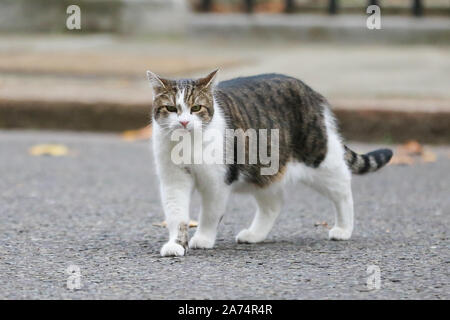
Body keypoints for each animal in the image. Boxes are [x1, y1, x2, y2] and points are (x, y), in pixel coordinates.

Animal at [146, 70, 392, 258]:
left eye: (196, 108)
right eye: (171, 109)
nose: (184, 122)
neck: (186, 145)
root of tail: (310, 91)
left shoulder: (216, 182)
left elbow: (209, 214)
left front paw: (203, 239)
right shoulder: (173, 181)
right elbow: (176, 215)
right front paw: (176, 244)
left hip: (320, 161)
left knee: (343, 190)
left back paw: (343, 229)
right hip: (263, 172)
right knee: (273, 204)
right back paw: (254, 235)